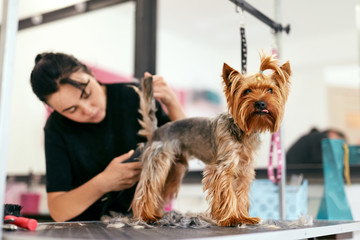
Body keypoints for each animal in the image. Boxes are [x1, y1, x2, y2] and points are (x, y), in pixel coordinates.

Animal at [131, 53, 292, 227]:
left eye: (270, 90)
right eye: (247, 91)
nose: (261, 103)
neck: (243, 130)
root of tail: (156, 131)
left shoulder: (244, 169)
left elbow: (240, 194)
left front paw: (244, 217)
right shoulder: (223, 168)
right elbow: (227, 192)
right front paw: (231, 218)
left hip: (174, 170)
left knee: (160, 191)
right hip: (158, 163)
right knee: (147, 188)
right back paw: (146, 216)